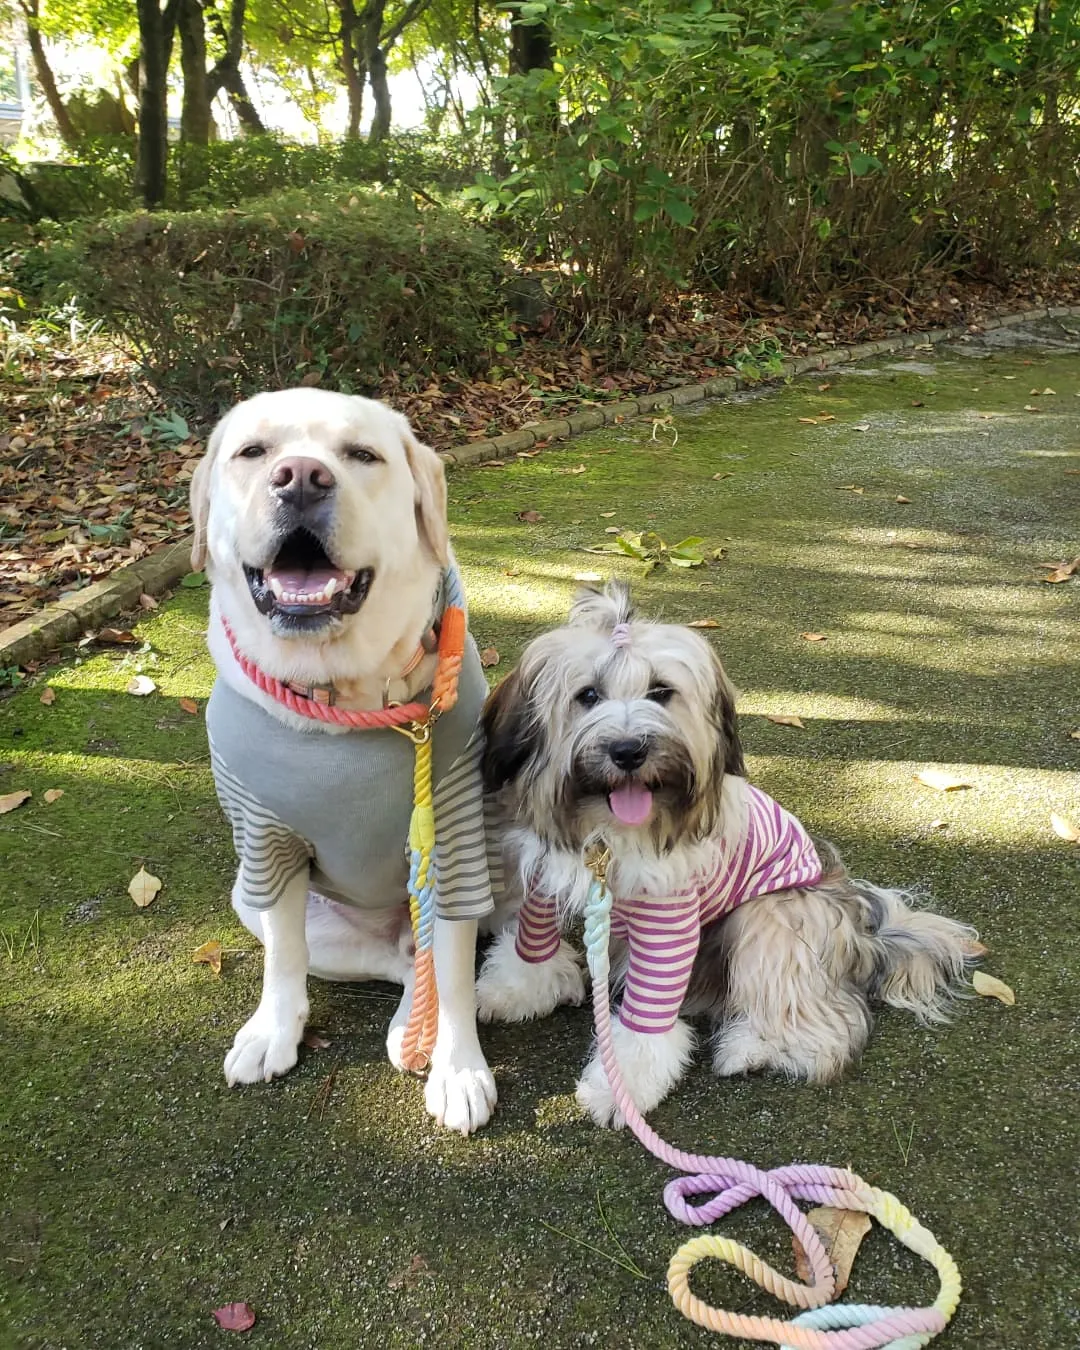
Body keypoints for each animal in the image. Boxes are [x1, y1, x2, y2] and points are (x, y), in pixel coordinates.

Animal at [189, 388, 496, 1128]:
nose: (301, 478)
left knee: (435, 955)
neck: (343, 693)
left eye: (362, 455)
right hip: (258, 902)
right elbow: (283, 957)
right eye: (253, 452)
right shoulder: (265, 841)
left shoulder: (455, 838)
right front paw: (271, 1030)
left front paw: (459, 1067)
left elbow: (456, 971)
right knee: (393, 960)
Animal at [477, 585, 972, 1123]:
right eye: (587, 695)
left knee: (816, 1016)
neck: (608, 835)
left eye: (661, 691)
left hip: (776, 916)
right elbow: (531, 948)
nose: (628, 751)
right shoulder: (545, 884)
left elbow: (646, 1027)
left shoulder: (669, 918)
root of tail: (864, 932)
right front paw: (511, 992)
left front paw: (620, 1088)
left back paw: (754, 1048)